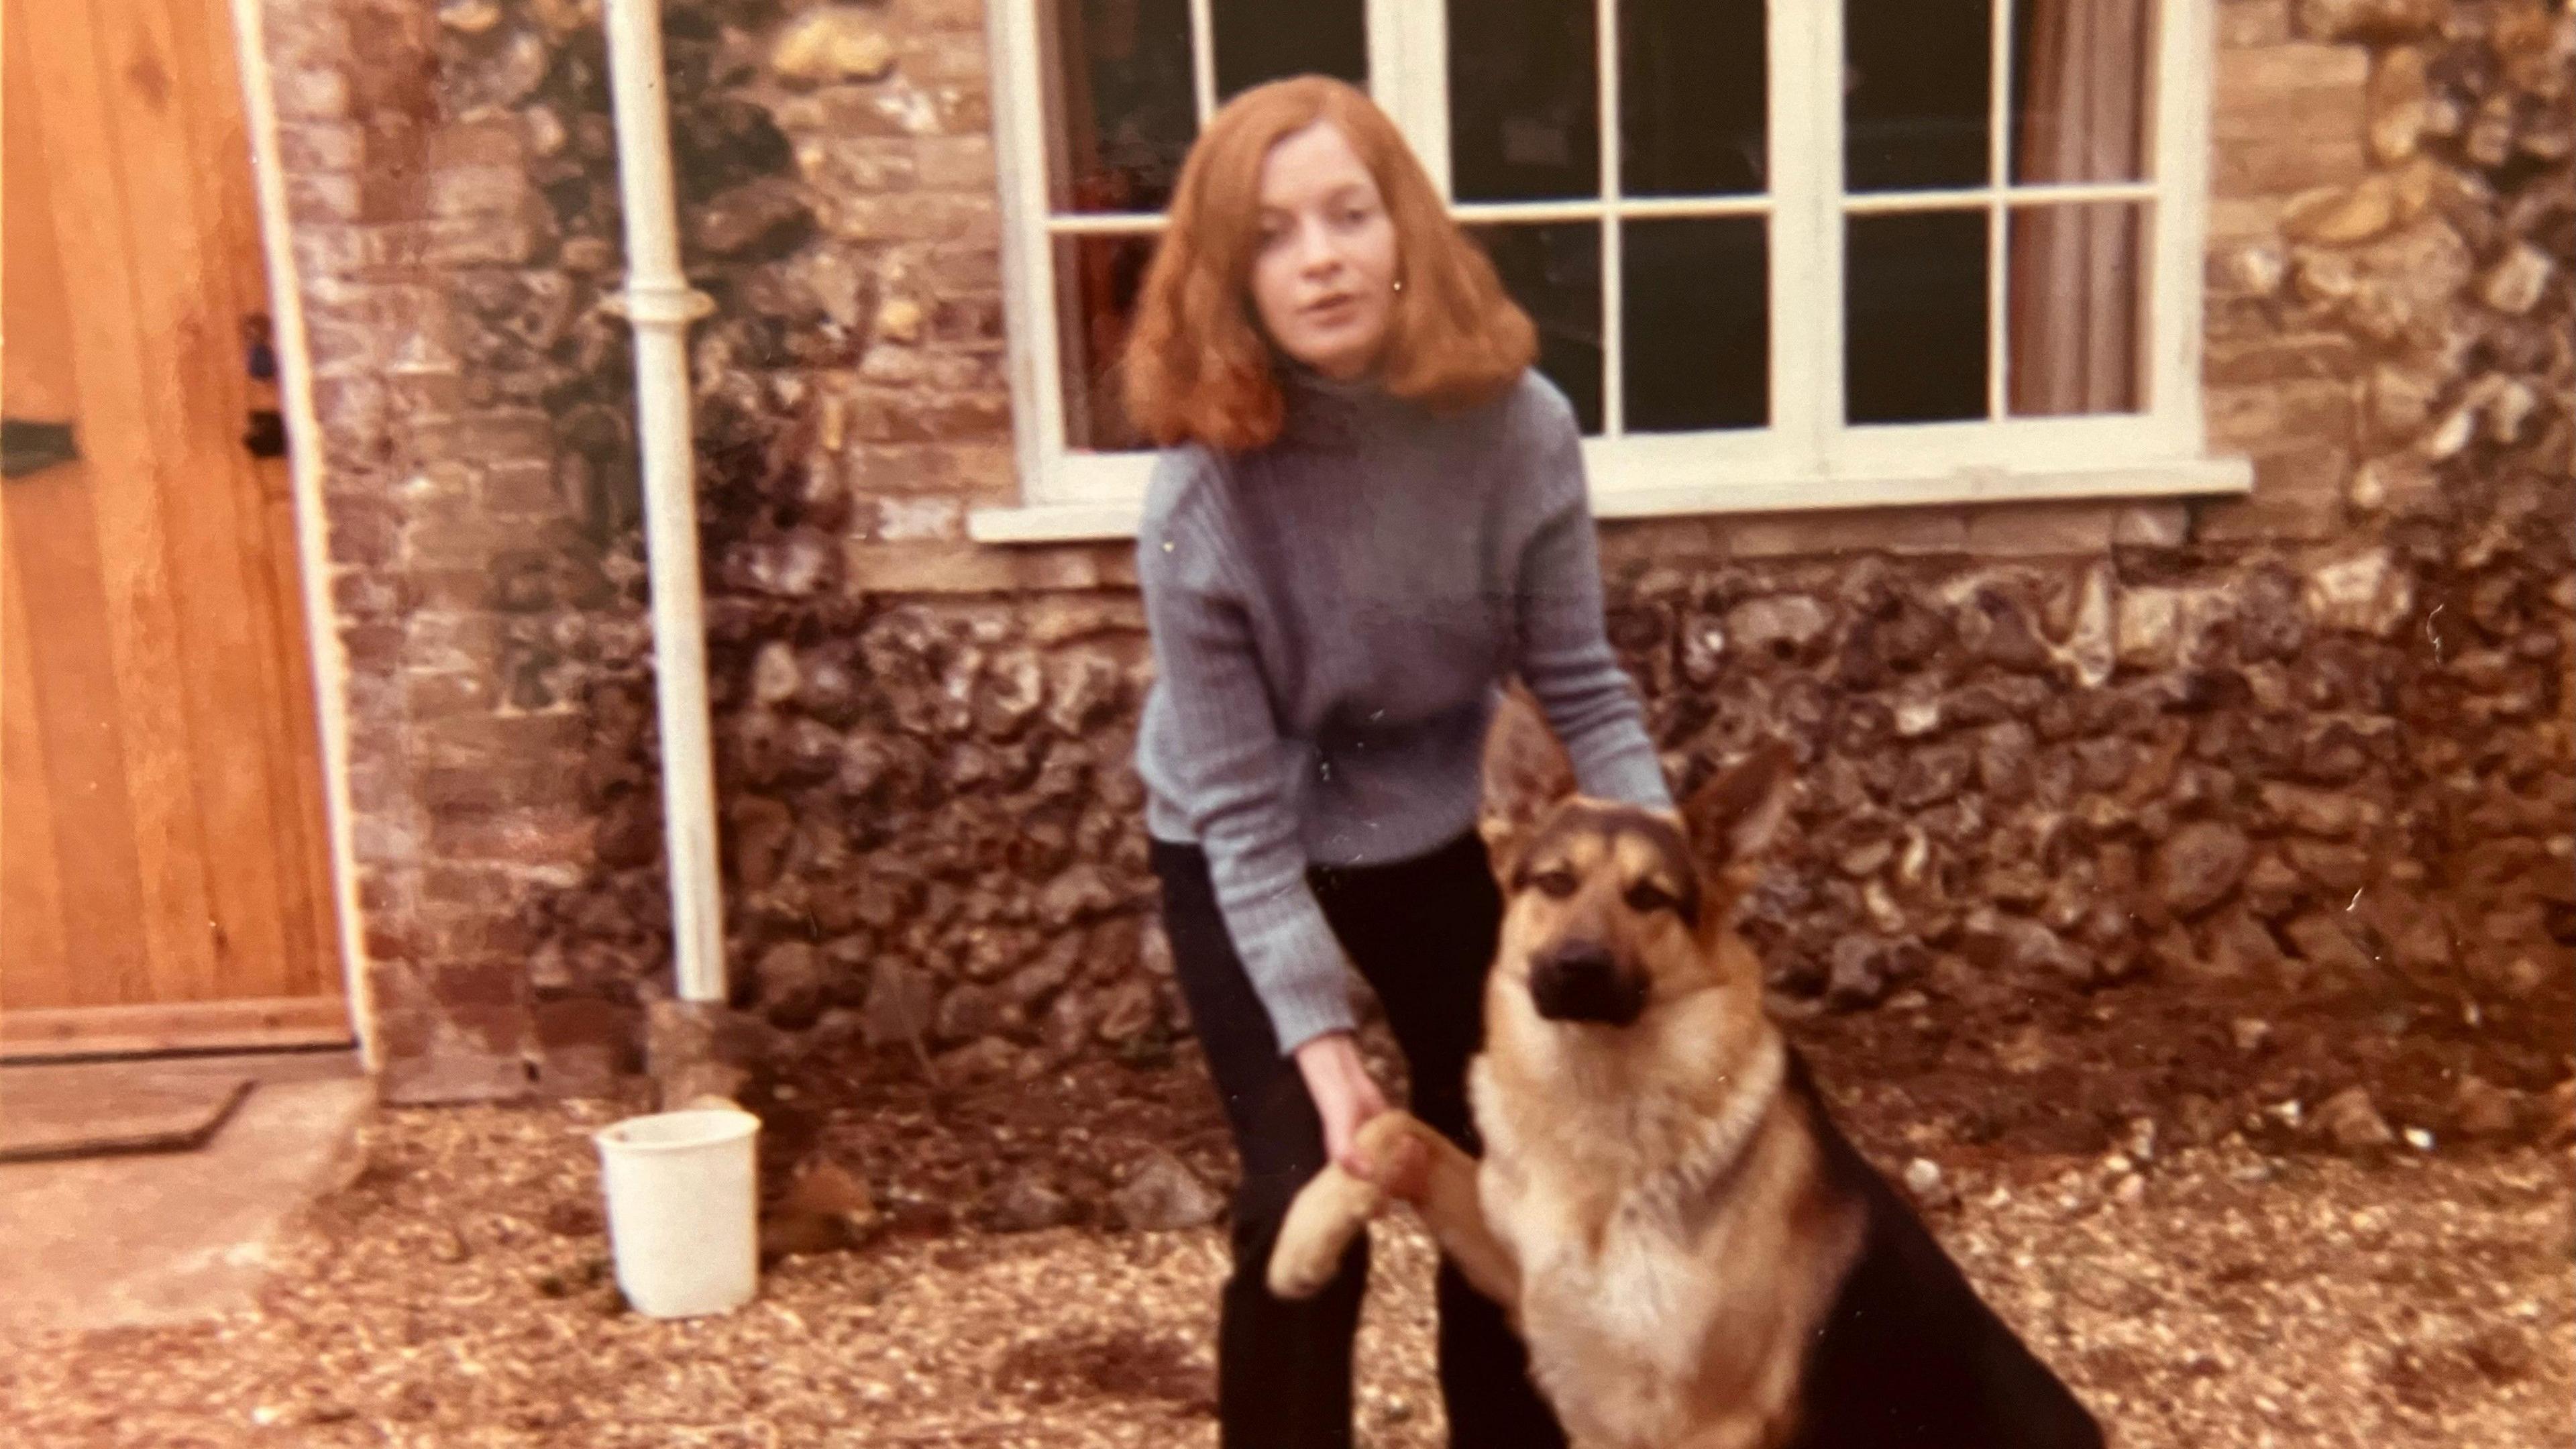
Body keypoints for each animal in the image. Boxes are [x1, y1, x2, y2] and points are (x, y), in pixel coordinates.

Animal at [1262, 696, 2092, 1444]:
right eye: (1556, 883)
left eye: (1649, 898)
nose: (1579, 968)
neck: (1599, 1096)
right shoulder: (1526, 1276)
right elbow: (1397, 1131)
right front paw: (1305, 1237)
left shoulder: (1709, 1424)